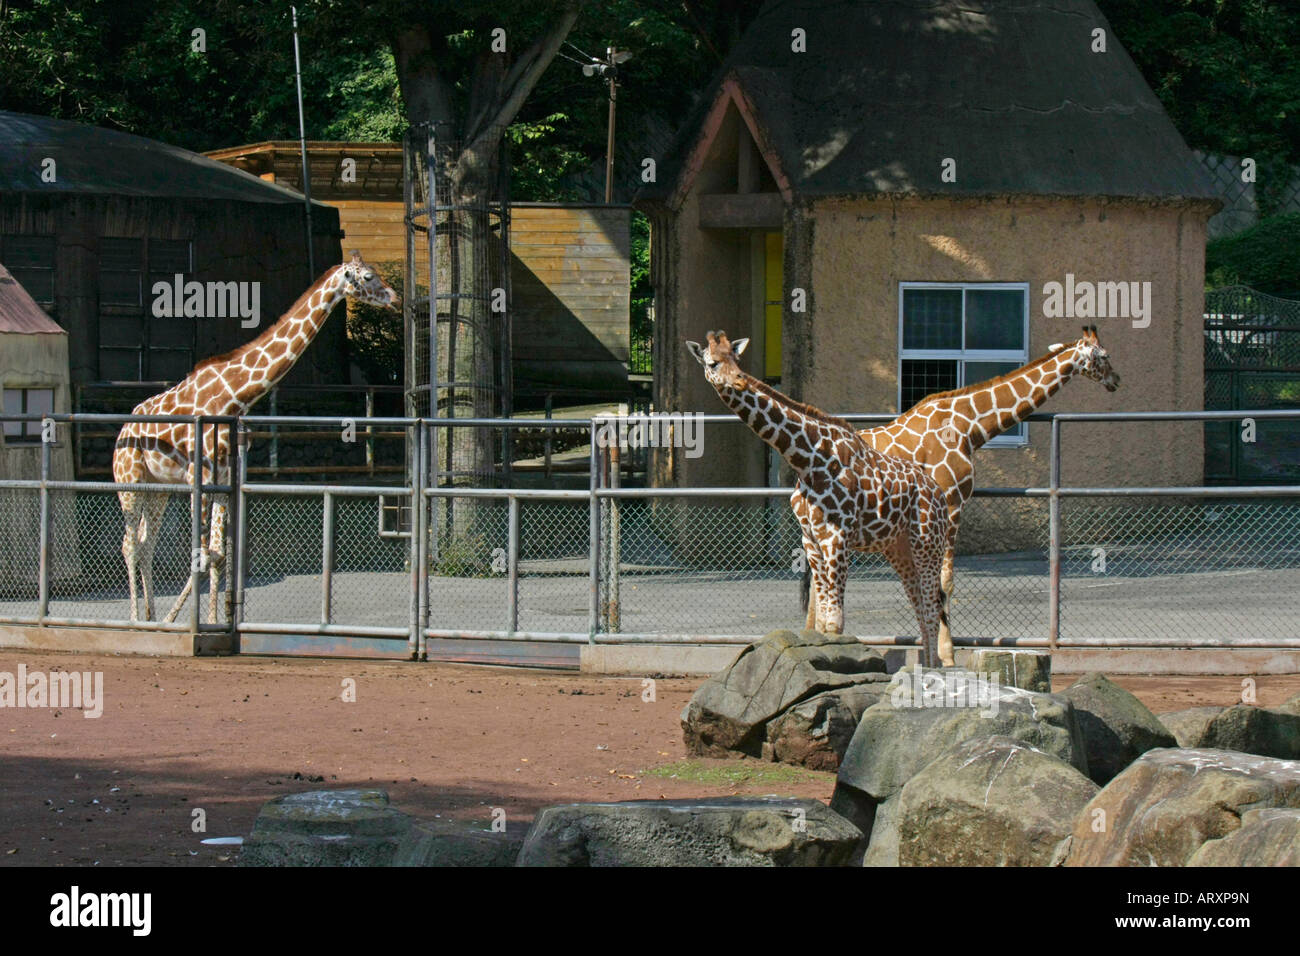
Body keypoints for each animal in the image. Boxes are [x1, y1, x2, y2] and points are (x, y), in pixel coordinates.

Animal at [114, 251, 397, 624]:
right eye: (367, 277)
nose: (394, 297)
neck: (235, 397)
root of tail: (123, 429)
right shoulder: (198, 475)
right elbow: (200, 554)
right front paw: (185, 621)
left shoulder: (224, 477)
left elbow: (217, 555)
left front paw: (210, 622)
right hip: (128, 480)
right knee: (130, 543)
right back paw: (135, 619)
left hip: (158, 487)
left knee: (146, 544)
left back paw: (149, 616)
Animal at [686, 332, 951, 671]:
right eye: (712, 362)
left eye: (737, 359)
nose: (740, 381)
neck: (805, 460)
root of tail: (938, 493)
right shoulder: (811, 538)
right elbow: (823, 620)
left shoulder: (837, 536)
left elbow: (835, 622)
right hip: (899, 548)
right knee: (920, 606)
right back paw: (928, 668)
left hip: (927, 543)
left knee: (931, 608)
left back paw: (933, 671)